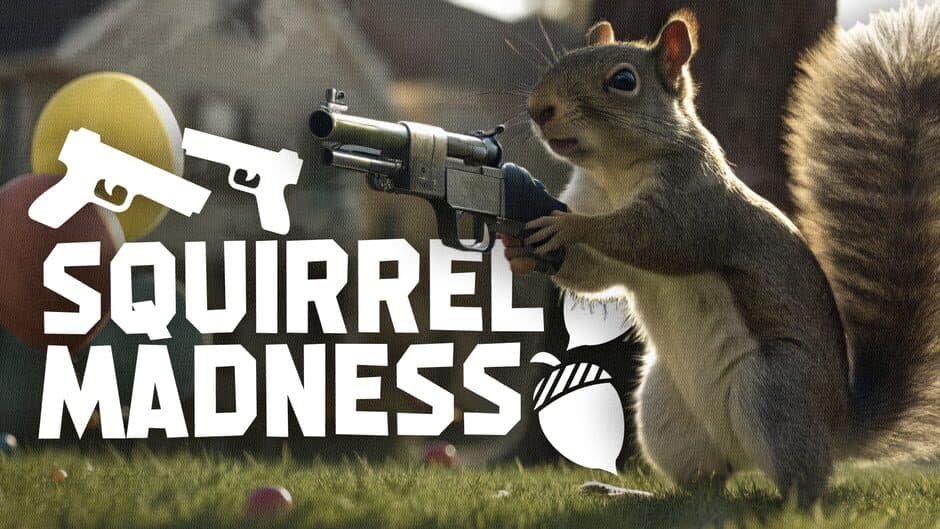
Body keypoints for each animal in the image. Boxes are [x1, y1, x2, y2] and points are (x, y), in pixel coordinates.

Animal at [503, 3, 940, 506]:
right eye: (566, 59)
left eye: (623, 81)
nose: (539, 109)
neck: (614, 174)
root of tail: (838, 426)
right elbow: (593, 275)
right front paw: (517, 251)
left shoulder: (696, 204)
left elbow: (653, 238)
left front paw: (571, 226)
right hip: (663, 410)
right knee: (704, 481)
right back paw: (633, 494)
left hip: (774, 390)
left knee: (806, 480)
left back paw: (787, 506)